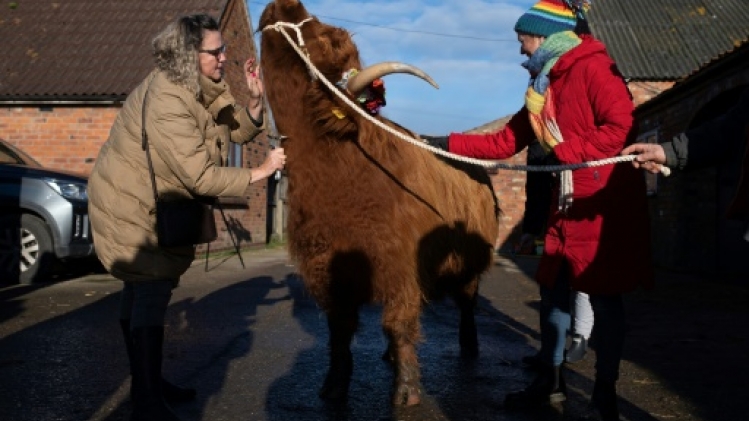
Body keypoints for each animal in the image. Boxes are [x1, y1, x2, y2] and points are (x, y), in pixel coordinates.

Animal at [259, 0, 500, 406]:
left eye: (325, 35)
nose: (282, 4)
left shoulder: (400, 265)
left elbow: (399, 323)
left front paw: (407, 391)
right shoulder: (328, 272)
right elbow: (340, 333)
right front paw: (334, 385)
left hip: (469, 263)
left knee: (467, 302)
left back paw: (469, 346)